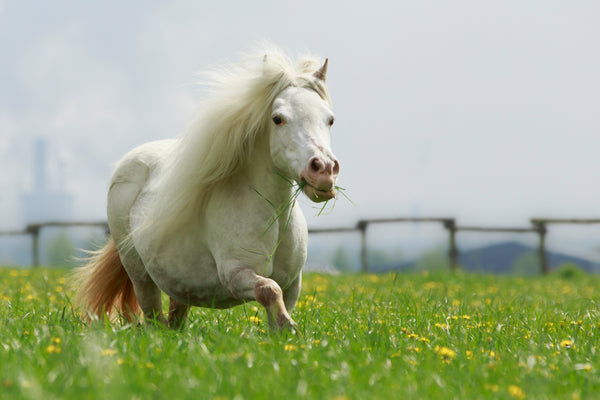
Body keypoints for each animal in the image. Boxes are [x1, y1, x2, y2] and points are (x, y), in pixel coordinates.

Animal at [72, 49, 340, 332]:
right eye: (278, 119)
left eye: (330, 119)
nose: (323, 170)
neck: (273, 215)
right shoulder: (235, 275)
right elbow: (269, 289)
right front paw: (290, 326)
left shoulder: (292, 283)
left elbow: (278, 303)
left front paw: (284, 330)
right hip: (139, 274)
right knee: (153, 318)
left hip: (180, 286)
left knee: (175, 318)